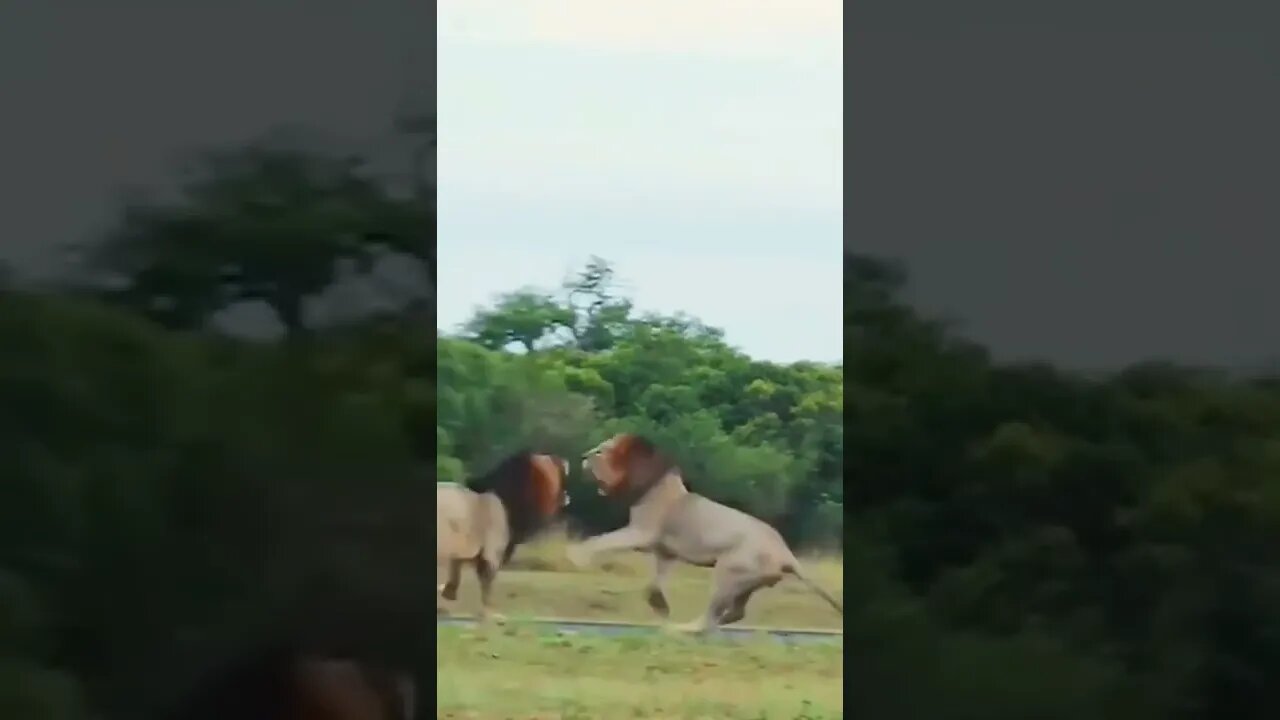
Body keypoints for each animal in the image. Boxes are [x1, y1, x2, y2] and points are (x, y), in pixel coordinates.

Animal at [437, 451, 570, 621]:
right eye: (555, 470)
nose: (566, 496)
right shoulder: (492, 550)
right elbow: (487, 580)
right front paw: (490, 614)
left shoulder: (467, 549)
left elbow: (457, 568)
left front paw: (448, 594)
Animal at [567, 433, 842, 634]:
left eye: (602, 450)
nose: (583, 456)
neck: (654, 486)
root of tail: (787, 554)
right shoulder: (665, 551)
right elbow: (655, 581)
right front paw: (659, 605)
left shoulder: (642, 533)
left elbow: (601, 540)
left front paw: (576, 557)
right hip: (747, 582)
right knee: (735, 612)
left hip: (728, 571)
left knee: (711, 616)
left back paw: (683, 630)